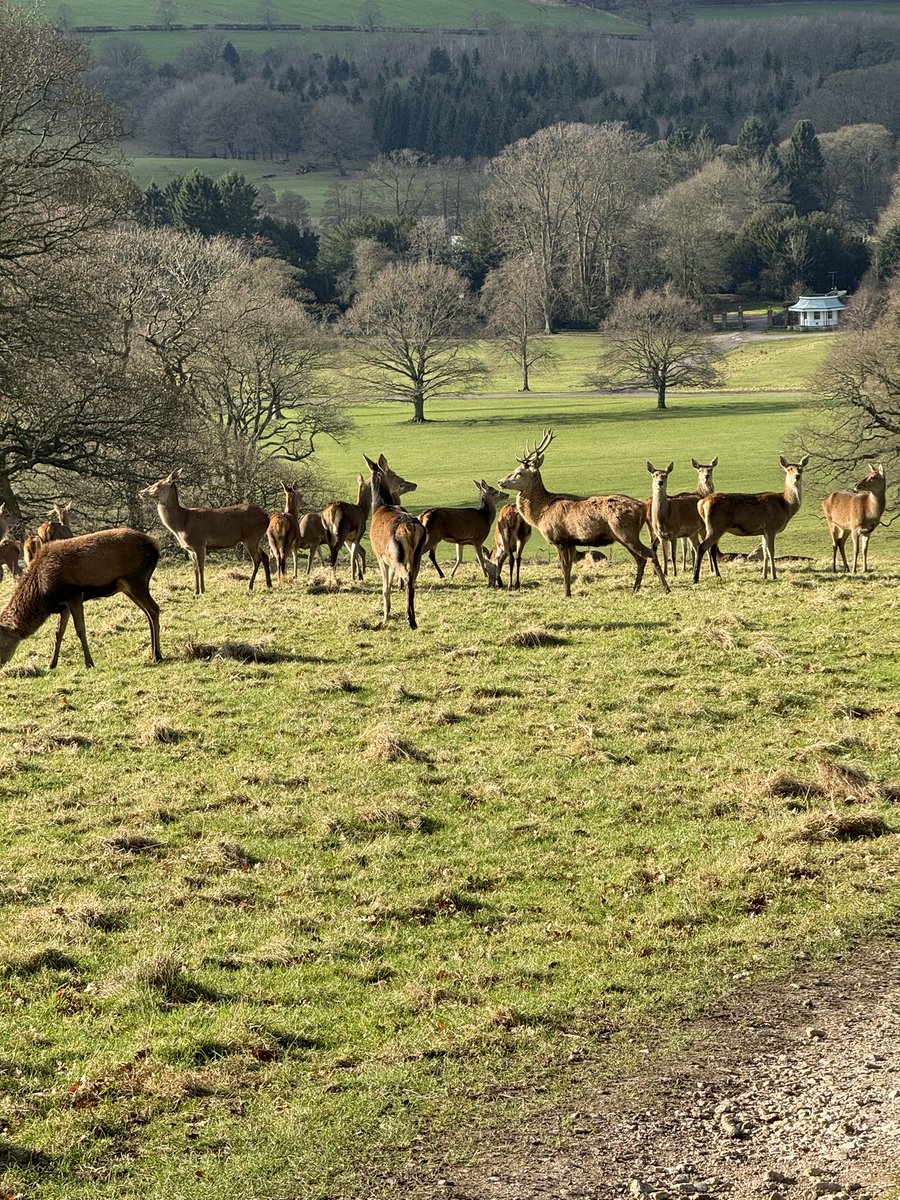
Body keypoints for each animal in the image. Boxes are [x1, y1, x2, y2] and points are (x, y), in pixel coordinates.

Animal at [0, 530, 162, 672]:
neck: (43, 595)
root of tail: (155, 545)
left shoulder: (75, 595)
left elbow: (80, 629)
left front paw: (89, 663)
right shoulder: (63, 605)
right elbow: (58, 632)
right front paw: (52, 664)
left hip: (136, 579)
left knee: (154, 609)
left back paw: (157, 656)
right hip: (128, 586)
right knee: (148, 612)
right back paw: (154, 652)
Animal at [139, 470, 273, 597]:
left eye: (157, 485)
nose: (141, 491)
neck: (181, 524)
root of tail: (267, 516)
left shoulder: (199, 543)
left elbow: (200, 567)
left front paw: (202, 590)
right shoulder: (190, 548)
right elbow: (194, 569)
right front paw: (195, 591)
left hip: (251, 537)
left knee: (256, 560)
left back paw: (250, 586)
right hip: (255, 539)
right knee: (265, 556)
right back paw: (269, 584)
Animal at [362, 453, 427, 633]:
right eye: (394, 473)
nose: (410, 483)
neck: (379, 507)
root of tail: (410, 528)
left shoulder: (380, 556)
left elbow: (385, 588)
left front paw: (384, 618)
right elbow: (391, 583)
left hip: (393, 555)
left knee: (406, 577)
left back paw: (409, 620)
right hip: (416, 556)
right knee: (412, 581)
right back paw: (412, 619)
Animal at [496, 432, 672, 600]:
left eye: (518, 473)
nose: (499, 481)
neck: (541, 513)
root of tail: (642, 507)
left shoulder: (559, 539)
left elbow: (564, 567)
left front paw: (566, 594)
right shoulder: (570, 541)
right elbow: (569, 567)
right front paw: (569, 592)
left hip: (626, 532)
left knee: (650, 554)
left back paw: (666, 588)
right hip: (624, 536)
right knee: (640, 559)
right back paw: (635, 589)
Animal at [696, 451, 816, 583]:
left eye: (801, 469)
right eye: (789, 469)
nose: (797, 476)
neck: (785, 505)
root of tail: (702, 503)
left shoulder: (763, 530)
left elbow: (764, 552)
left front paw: (764, 575)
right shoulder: (771, 526)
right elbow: (771, 551)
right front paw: (774, 575)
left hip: (714, 527)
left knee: (709, 548)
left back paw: (715, 575)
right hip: (716, 526)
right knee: (702, 547)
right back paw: (696, 577)